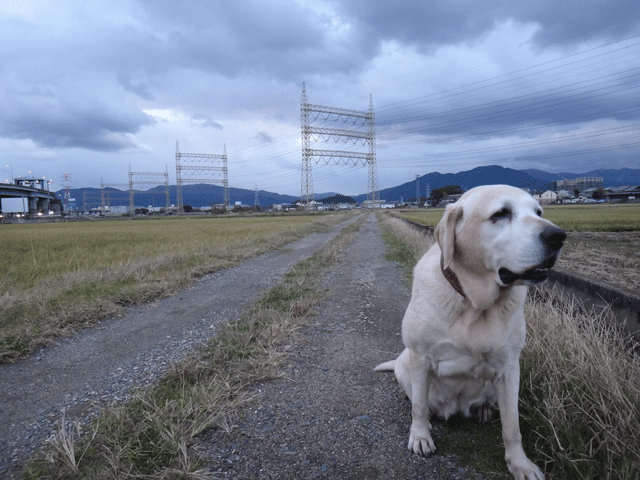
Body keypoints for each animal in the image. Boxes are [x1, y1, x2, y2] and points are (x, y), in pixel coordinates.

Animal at [376, 185, 564, 480]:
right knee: (418, 399)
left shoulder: (509, 369)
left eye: (539, 212)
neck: (476, 305)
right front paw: (420, 436)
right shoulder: (419, 358)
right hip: (404, 363)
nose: (558, 236)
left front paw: (520, 464)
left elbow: (512, 426)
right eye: (500, 213)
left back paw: (484, 409)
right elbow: (419, 406)